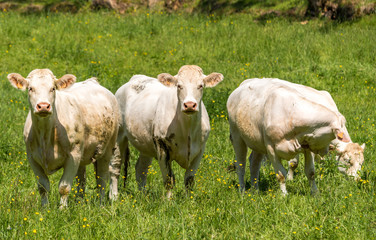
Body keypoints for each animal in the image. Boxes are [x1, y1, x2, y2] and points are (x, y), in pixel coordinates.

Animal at [7, 68, 119, 207]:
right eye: (30, 88)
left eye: (53, 88)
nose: (43, 106)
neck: (46, 135)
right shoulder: (32, 158)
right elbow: (43, 186)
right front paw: (45, 208)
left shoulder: (73, 156)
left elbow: (64, 187)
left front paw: (62, 209)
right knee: (81, 179)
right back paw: (79, 202)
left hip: (107, 148)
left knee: (102, 178)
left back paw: (101, 204)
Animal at [108, 64, 223, 199]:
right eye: (179, 86)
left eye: (200, 85)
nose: (189, 105)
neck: (187, 130)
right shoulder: (161, 146)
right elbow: (169, 179)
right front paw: (169, 200)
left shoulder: (200, 149)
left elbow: (189, 179)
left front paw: (189, 200)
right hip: (118, 136)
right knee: (115, 167)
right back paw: (114, 196)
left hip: (145, 144)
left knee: (141, 168)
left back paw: (143, 196)